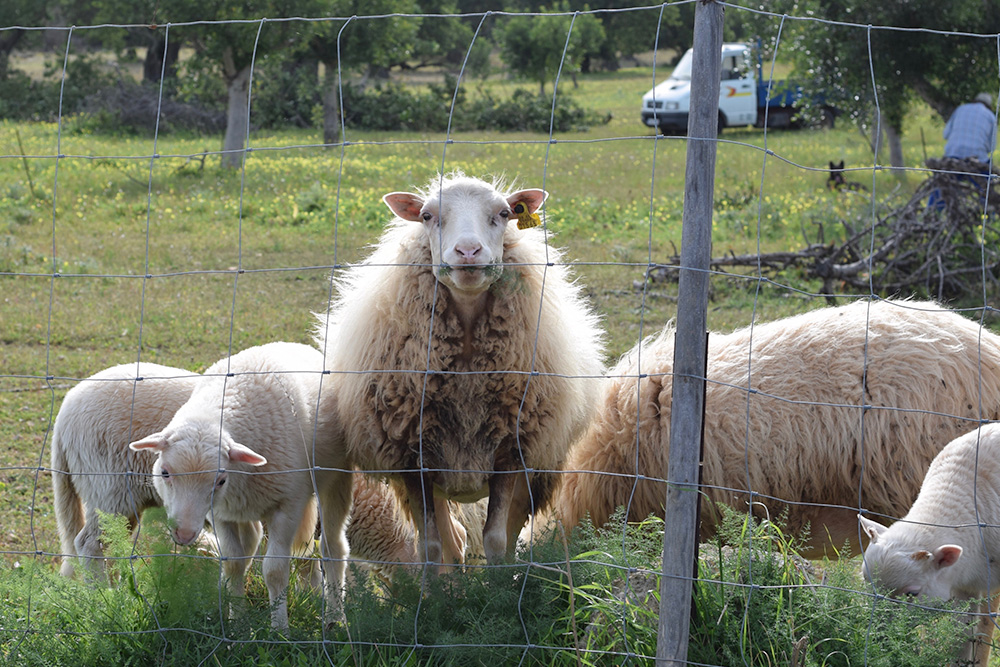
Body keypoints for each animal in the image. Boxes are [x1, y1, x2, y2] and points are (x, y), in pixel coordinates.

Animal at [128, 344, 352, 632]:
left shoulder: (288, 505)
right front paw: (237, 621)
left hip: (336, 479)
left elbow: (274, 570)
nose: (184, 534)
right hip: (246, 505)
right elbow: (233, 564)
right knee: (264, 542)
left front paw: (280, 629)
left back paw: (336, 617)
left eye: (220, 480)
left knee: (332, 548)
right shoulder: (221, 513)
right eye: (165, 472)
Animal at [316, 171, 604, 568]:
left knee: (509, 529)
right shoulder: (413, 461)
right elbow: (431, 547)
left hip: (537, 470)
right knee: (452, 539)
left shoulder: (509, 454)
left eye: (504, 213)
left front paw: (499, 583)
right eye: (426, 216)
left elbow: (497, 540)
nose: (468, 252)